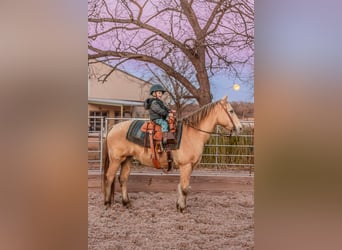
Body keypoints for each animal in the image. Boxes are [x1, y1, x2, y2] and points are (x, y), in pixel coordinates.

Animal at [102, 95, 243, 211]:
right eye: (231, 111)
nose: (240, 128)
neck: (192, 133)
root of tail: (113, 127)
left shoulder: (190, 166)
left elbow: (182, 186)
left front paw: (179, 205)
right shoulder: (185, 165)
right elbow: (185, 188)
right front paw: (182, 209)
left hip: (127, 159)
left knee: (123, 179)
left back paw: (126, 203)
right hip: (116, 160)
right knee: (109, 177)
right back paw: (107, 203)